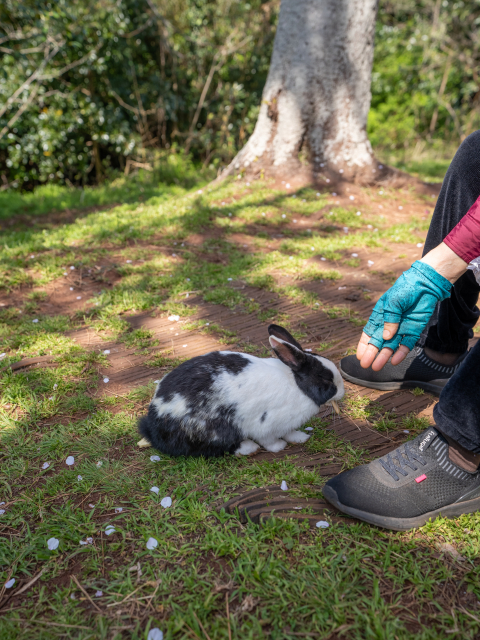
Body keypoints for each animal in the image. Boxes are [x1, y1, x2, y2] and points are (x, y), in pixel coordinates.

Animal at [137, 324, 344, 456]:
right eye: (325, 378)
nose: (342, 392)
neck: (297, 386)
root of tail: (153, 426)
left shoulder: (286, 424)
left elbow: (290, 432)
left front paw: (301, 437)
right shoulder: (265, 423)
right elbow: (269, 440)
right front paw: (279, 446)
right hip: (211, 430)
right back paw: (248, 448)